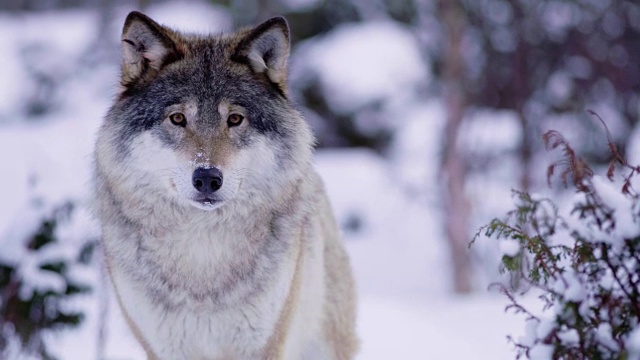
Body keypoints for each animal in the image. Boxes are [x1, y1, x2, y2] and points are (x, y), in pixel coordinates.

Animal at [92, 9, 358, 358]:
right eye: (178, 119)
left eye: (234, 119)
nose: (207, 178)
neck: (202, 254)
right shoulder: (165, 348)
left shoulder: (263, 346)